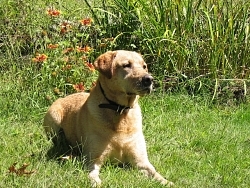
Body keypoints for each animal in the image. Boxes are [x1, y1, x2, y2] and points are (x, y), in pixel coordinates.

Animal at [43, 50, 173, 187]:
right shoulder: (93, 161)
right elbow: (93, 175)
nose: (149, 79)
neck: (120, 111)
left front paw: (167, 182)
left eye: (144, 66)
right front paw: (96, 182)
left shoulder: (141, 161)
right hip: (53, 118)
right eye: (126, 65)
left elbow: (155, 173)